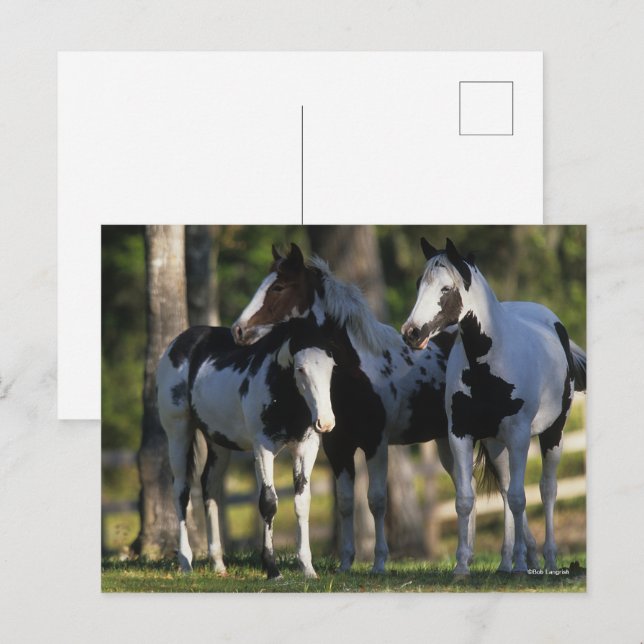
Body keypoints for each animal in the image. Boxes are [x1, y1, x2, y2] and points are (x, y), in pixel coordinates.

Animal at [156, 316, 336, 579]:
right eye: (301, 369)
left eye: (331, 367)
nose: (325, 422)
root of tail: (177, 344)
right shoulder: (263, 447)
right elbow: (268, 502)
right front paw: (273, 569)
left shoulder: (306, 447)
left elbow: (302, 502)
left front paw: (308, 569)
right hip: (178, 432)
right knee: (181, 491)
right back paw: (186, 563)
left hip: (218, 443)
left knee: (209, 488)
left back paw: (218, 563)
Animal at [231, 243, 540, 574]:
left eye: (278, 286)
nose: (238, 330)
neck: (358, 370)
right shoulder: (338, 447)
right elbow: (345, 502)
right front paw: (346, 563)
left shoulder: (375, 444)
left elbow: (376, 500)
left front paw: (379, 562)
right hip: (448, 442)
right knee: (466, 484)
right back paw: (473, 557)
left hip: (490, 437)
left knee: (507, 489)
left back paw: (519, 559)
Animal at [402, 237, 587, 575]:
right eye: (420, 282)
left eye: (446, 288)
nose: (411, 332)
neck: (488, 363)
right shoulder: (461, 434)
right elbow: (466, 499)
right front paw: (462, 567)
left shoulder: (519, 436)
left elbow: (520, 498)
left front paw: (523, 566)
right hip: (494, 443)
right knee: (504, 489)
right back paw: (505, 562)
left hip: (553, 433)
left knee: (547, 490)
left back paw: (547, 559)